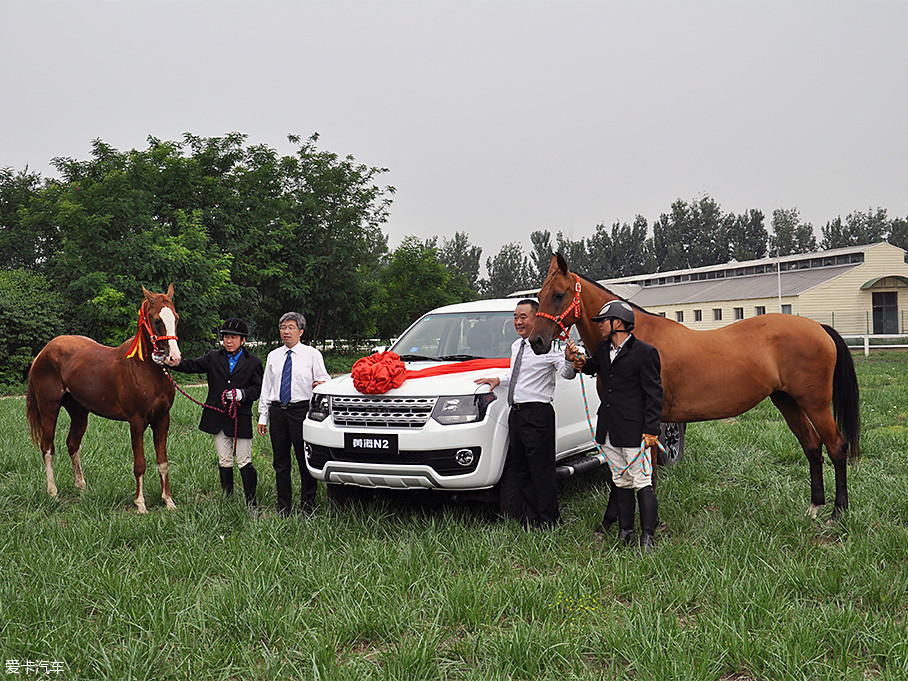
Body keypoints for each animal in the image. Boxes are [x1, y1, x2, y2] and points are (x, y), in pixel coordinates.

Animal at [25, 284, 182, 512]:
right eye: (156, 321)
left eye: (176, 319)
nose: (174, 358)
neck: (144, 369)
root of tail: (43, 353)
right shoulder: (136, 422)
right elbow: (140, 464)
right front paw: (141, 505)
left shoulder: (162, 419)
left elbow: (163, 462)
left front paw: (169, 502)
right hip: (49, 409)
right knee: (47, 448)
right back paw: (52, 493)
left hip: (79, 412)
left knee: (72, 444)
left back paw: (82, 487)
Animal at [536, 252, 860, 516]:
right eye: (540, 294)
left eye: (559, 294)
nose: (537, 341)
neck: (632, 338)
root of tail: (818, 327)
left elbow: (647, 474)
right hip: (787, 401)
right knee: (812, 446)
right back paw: (815, 505)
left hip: (815, 403)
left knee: (836, 446)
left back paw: (838, 511)